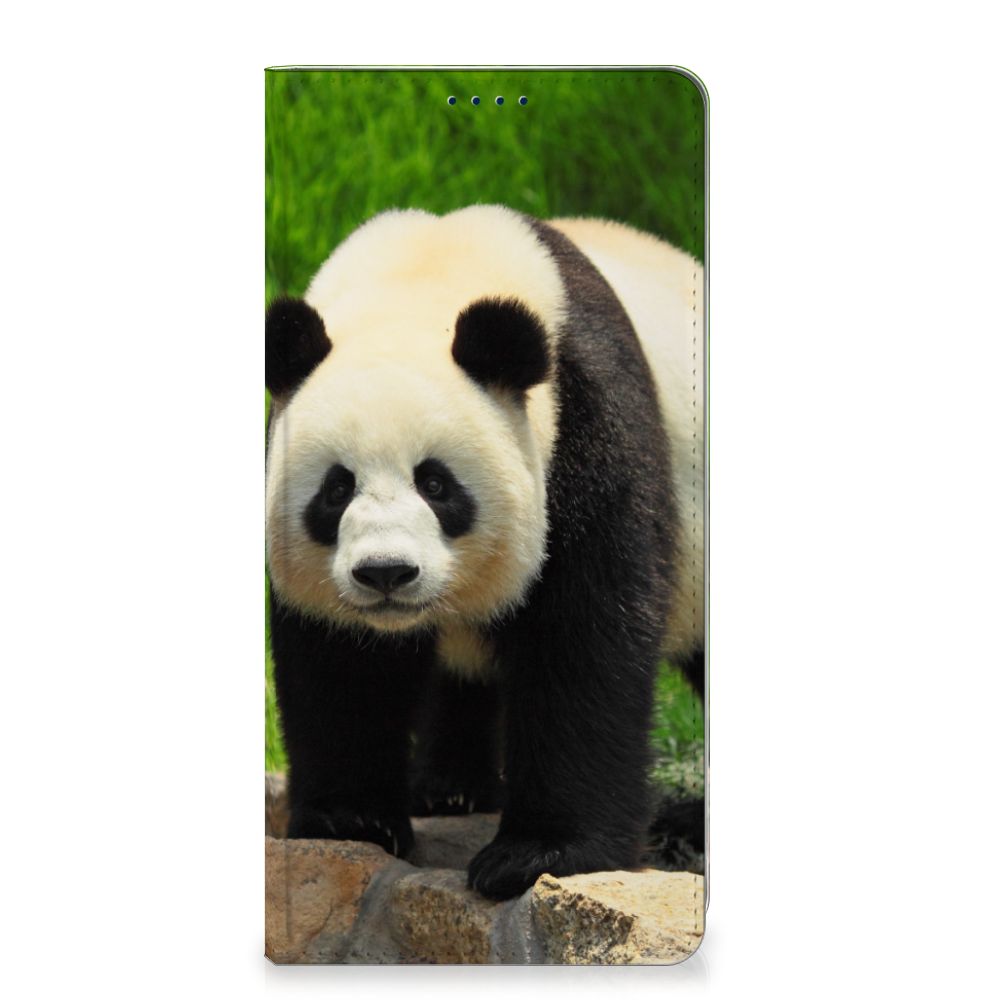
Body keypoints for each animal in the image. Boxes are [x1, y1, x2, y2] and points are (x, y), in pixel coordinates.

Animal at [265, 205, 705, 901]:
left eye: (436, 484)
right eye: (336, 489)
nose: (386, 573)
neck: (422, 278)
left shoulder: (587, 424)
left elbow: (584, 635)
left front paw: (538, 854)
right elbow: (341, 662)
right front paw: (349, 819)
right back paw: (449, 788)